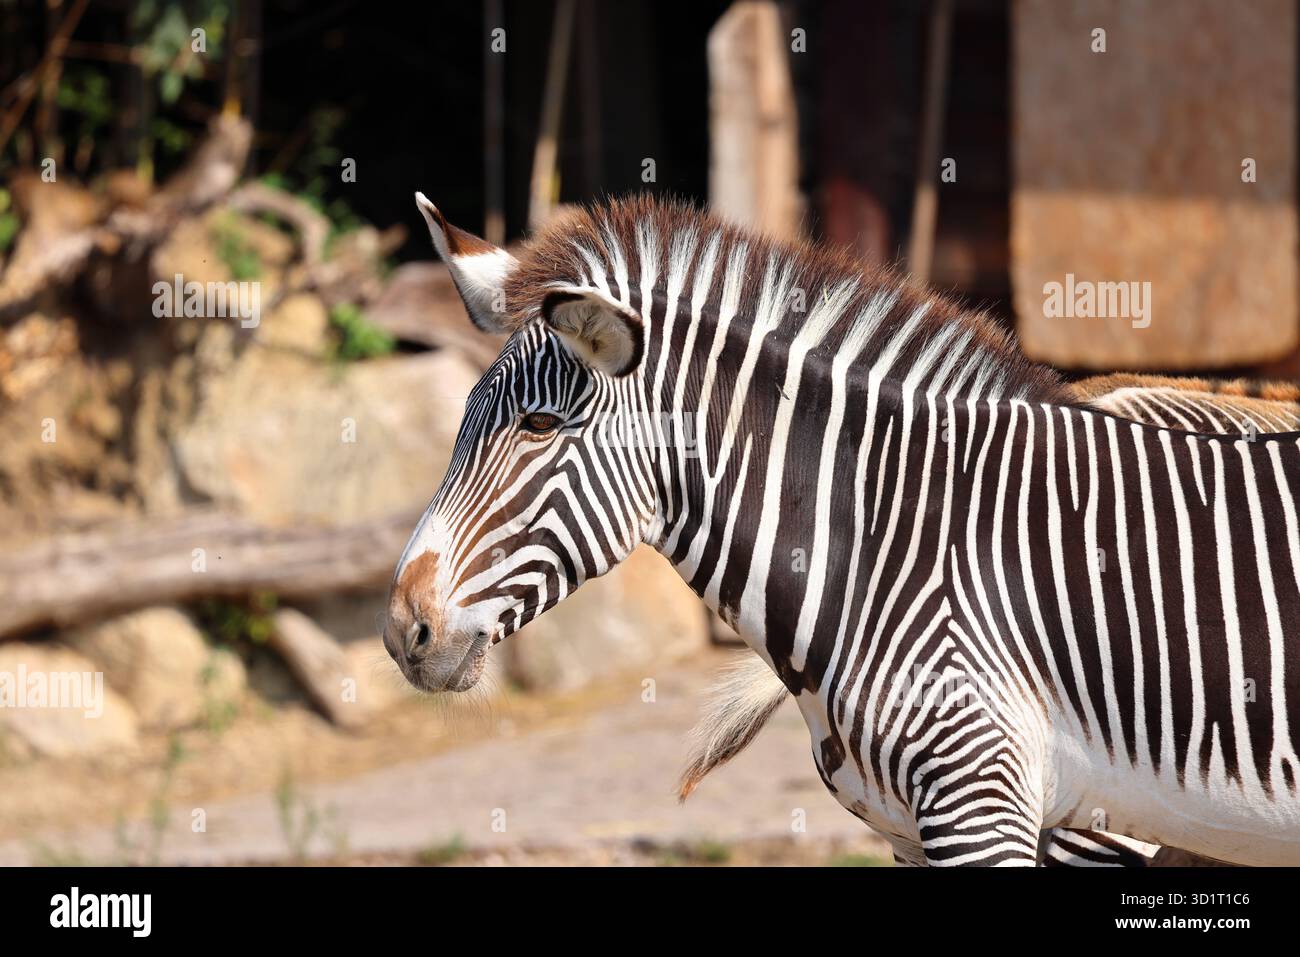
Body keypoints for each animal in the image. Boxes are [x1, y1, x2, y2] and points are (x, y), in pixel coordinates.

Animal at [386, 193, 1300, 867]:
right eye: (462, 419)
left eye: (538, 425)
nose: (402, 631)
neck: (895, 545)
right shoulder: (920, 831)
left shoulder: (992, 800)